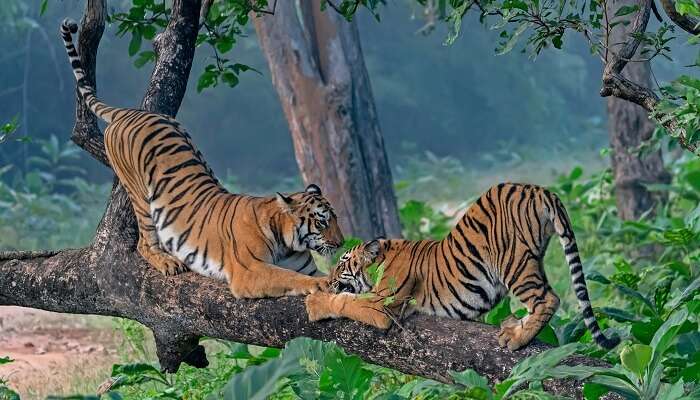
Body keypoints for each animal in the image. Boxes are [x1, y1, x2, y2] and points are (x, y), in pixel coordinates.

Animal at [61, 20, 344, 298]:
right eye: (321, 222)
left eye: (335, 218)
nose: (341, 243)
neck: (286, 239)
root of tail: (132, 112)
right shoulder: (249, 271)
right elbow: (289, 276)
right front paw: (320, 284)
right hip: (139, 194)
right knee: (144, 242)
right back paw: (168, 262)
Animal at [306, 184, 616, 350]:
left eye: (343, 262)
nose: (329, 277)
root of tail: (537, 189)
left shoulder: (382, 304)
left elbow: (345, 300)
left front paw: (316, 302)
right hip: (532, 260)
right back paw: (513, 325)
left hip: (512, 262)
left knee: (548, 298)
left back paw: (516, 338)